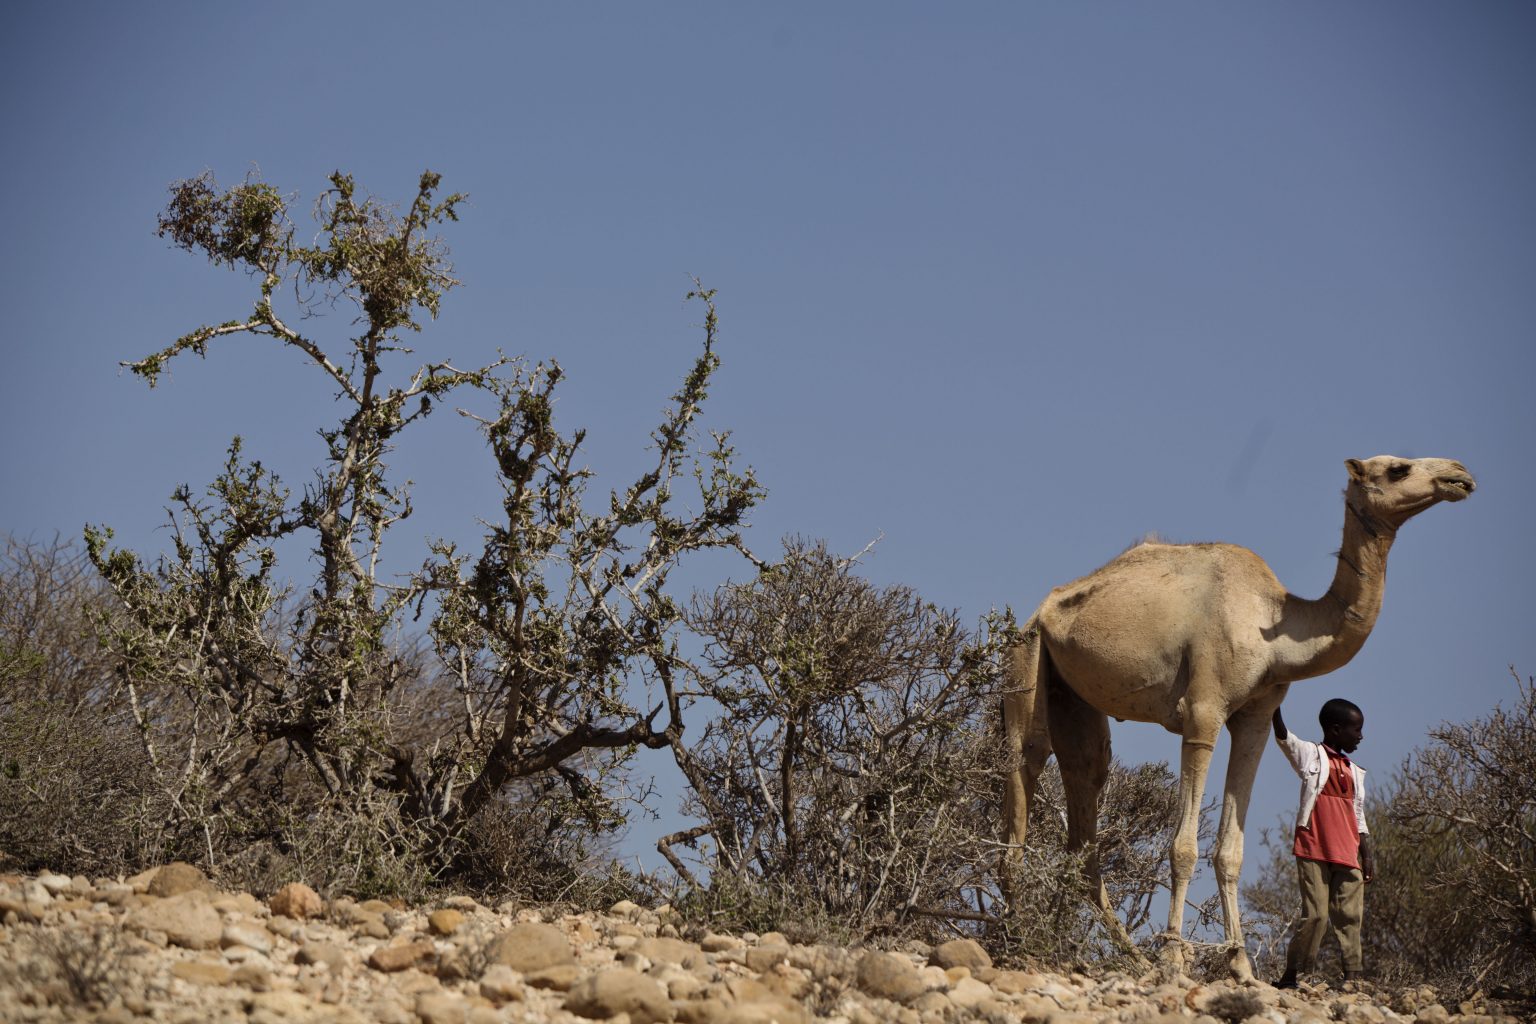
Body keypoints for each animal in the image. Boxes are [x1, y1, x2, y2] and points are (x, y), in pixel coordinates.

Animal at [1001, 454, 1480, 976]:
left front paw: (1241, 965)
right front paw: (1174, 956)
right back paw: (1019, 940)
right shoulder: (1203, 713)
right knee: (1024, 775)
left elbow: (1231, 849)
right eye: (1398, 469)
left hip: (1074, 695)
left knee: (1086, 788)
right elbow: (1183, 846)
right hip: (1028, 656)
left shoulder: (1256, 718)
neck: (1276, 629)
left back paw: (1099, 951)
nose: (1459, 475)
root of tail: (1040, 610)